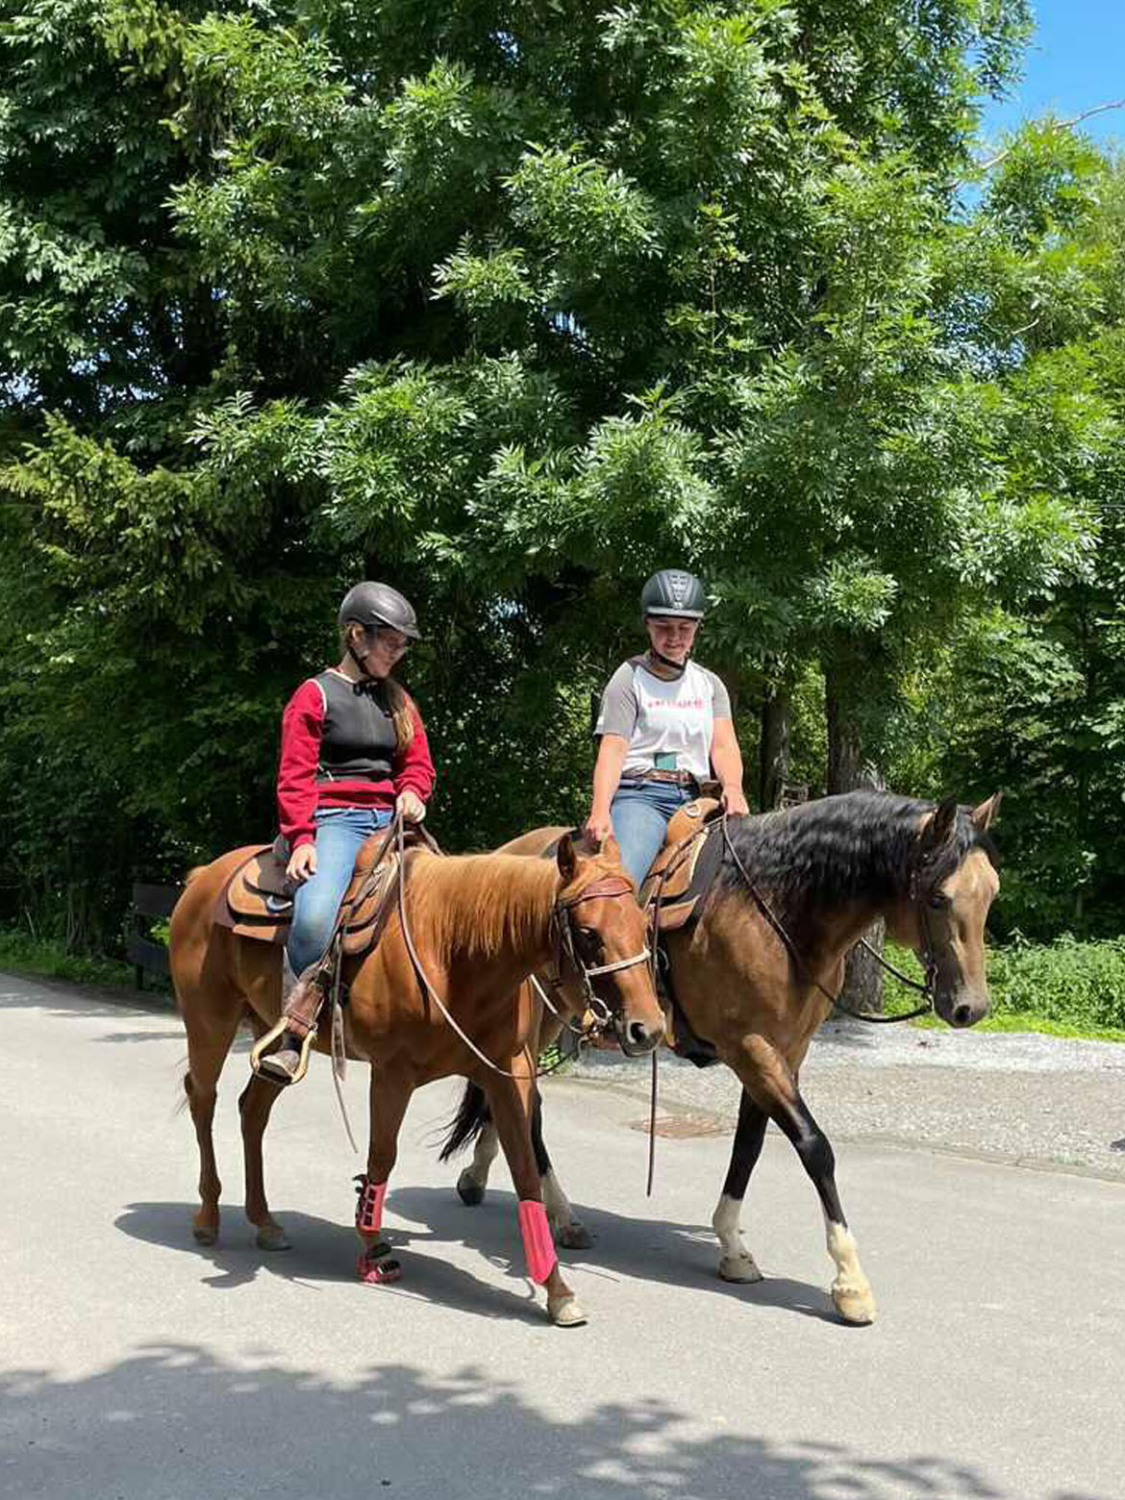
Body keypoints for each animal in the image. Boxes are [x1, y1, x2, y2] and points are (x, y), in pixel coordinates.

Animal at [165, 834, 660, 1326]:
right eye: (589, 933)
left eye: (642, 924)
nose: (648, 1028)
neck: (453, 952)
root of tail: (204, 875)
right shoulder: (392, 1073)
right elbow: (381, 1157)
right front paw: (373, 1249)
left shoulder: (507, 1075)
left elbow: (524, 1171)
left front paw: (557, 1289)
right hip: (210, 1022)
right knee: (203, 1100)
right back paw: (208, 1216)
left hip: (269, 1035)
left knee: (252, 1110)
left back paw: (265, 1222)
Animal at [441, 792, 1002, 1320]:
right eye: (938, 897)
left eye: (992, 893)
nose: (971, 1007)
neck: (779, 910)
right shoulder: (750, 1048)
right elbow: (814, 1147)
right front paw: (850, 1281)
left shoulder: (785, 1052)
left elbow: (749, 1145)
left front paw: (732, 1247)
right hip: (542, 1020)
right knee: (527, 1105)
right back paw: (561, 1213)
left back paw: (483, 1176)